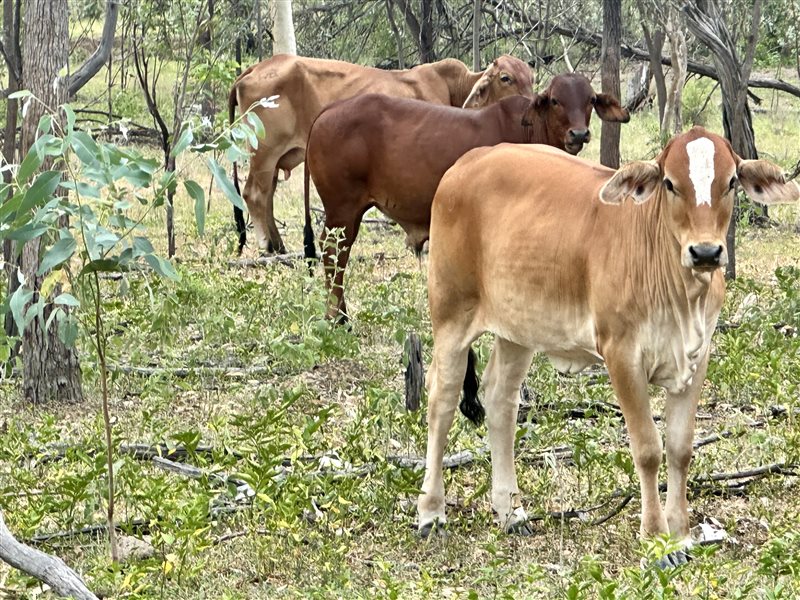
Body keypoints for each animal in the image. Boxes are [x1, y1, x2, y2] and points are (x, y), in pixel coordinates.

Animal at [228, 52, 536, 255]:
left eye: (531, 77)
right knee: (255, 193)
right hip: (264, 151)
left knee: (266, 195)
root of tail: (253, 69)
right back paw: (268, 247)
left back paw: (279, 246)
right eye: (506, 78)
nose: (532, 105)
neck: (453, 89)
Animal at [304, 75, 628, 324]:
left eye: (590, 100)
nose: (579, 134)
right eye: (556, 100)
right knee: (334, 252)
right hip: (342, 209)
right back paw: (337, 318)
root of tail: (329, 109)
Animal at [416, 127, 796, 568]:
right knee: (441, 400)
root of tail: (466, 163)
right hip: (451, 315)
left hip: (518, 328)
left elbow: (680, 448)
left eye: (731, 181)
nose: (705, 252)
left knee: (500, 400)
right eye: (670, 184)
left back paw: (511, 511)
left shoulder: (697, 358)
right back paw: (431, 513)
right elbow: (648, 448)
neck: (680, 292)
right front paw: (657, 540)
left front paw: (682, 536)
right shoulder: (622, 355)